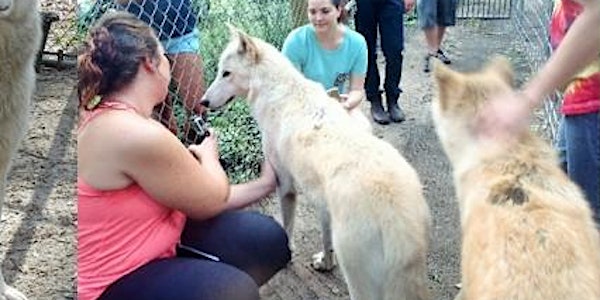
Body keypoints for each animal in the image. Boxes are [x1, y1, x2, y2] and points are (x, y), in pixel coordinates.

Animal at [202, 26, 432, 300]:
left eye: (225, 73)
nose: (203, 102)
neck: (277, 92)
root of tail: (395, 210)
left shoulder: (285, 184)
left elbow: (287, 227)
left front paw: (288, 253)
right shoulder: (323, 203)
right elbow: (325, 239)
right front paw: (325, 263)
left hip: (359, 280)